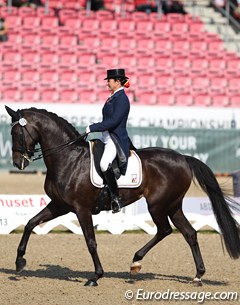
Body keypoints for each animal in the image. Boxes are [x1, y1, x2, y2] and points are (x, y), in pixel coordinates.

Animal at [4, 105, 239, 286]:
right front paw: (19, 261)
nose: (17, 163)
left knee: (164, 230)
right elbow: (30, 223)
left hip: (157, 205)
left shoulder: (81, 209)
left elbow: (91, 241)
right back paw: (197, 275)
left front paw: (96, 276)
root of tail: (183, 157)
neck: (69, 159)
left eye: (16, 134)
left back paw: (136, 262)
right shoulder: (60, 205)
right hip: (173, 205)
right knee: (189, 233)